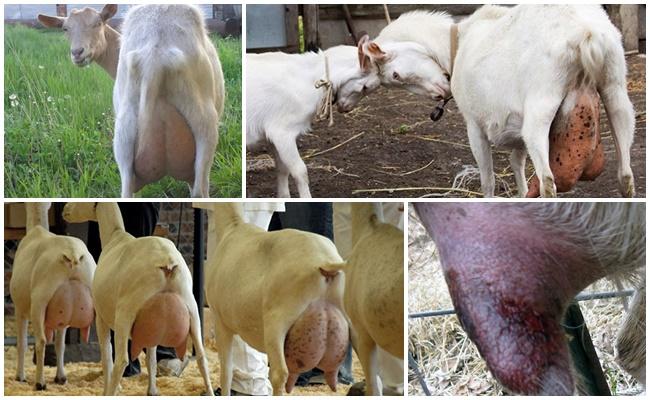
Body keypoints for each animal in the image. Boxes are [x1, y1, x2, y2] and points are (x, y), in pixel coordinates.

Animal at [9, 202, 96, 390]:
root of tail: (73, 253)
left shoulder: (19, 308)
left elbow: (22, 344)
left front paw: (20, 376)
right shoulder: (62, 318)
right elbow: (59, 345)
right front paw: (60, 377)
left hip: (39, 301)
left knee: (40, 341)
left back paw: (39, 383)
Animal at [62, 202, 213, 395]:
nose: (64, 209)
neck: (115, 235)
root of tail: (168, 261)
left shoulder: (101, 317)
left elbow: (106, 354)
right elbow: (151, 358)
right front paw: (152, 391)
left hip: (125, 313)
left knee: (121, 360)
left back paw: (111, 391)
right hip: (191, 309)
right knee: (201, 357)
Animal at [204, 203, 348, 394]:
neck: (232, 227)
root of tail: (326, 263)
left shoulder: (221, 321)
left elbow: (226, 372)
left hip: (277, 322)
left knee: (279, 373)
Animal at [247, 40, 381, 197]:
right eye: (365, 87)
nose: (346, 109)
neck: (308, 78)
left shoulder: (274, 138)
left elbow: (282, 168)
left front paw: (283, 196)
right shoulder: (282, 132)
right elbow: (300, 171)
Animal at [362, 5, 635, 198]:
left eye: (395, 75)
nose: (441, 92)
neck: (456, 43)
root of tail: (588, 33)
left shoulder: (474, 125)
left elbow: (488, 180)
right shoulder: (517, 126)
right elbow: (516, 163)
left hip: (541, 105)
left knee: (547, 182)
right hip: (616, 91)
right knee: (625, 175)